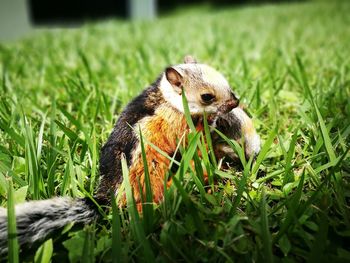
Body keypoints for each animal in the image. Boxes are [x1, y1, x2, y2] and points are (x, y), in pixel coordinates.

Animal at [0, 56, 258, 255]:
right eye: (207, 97)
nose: (235, 102)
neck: (168, 97)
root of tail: (107, 201)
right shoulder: (177, 123)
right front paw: (214, 122)